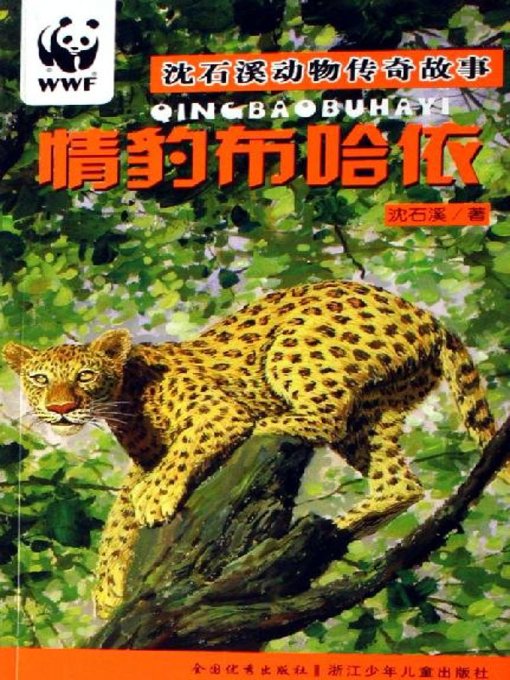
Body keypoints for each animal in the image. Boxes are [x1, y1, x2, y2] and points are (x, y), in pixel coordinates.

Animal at [2, 280, 500, 619]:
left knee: (325, 415)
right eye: (39, 379)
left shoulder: (218, 414)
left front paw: (156, 499)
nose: (61, 408)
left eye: (85, 376)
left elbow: (178, 457)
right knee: (402, 483)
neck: (123, 400)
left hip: (297, 349)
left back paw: (276, 424)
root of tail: (427, 316)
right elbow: (118, 517)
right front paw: (107, 591)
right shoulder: (143, 461)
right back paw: (341, 527)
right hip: (376, 411)